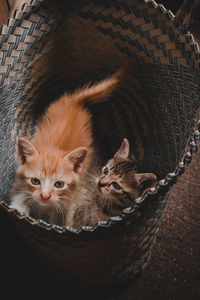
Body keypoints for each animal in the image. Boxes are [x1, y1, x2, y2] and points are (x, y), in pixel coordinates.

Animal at [9, 71, 119, 225]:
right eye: (35, 181)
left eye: (59, 184)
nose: (45, 196)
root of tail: (75, 102)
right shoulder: (19, 182)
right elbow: (19, 194)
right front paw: (20, 207)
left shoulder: (66, 200)